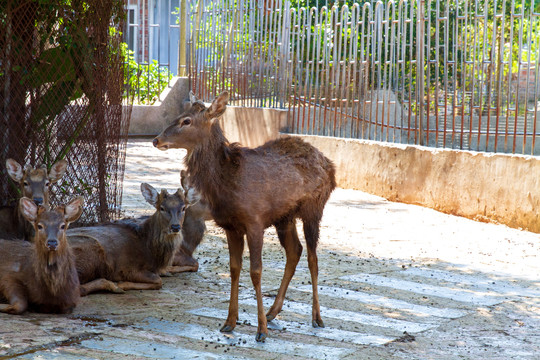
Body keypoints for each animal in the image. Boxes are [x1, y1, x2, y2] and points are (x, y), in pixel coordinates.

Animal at [67, 183, 197, 296]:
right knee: (78, 289)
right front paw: (122, 284)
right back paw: (114, 286)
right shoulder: (127, 268)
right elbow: (158, 281)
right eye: (162, 208)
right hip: (89, 250)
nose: (175, 227)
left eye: (183, 208)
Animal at [153, 91, 338, 342]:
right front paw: (229, 322)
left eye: (186, 121)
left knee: (313, 258)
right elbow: (234, 269)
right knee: (295, 251)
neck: (226, 185)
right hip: (285, 217)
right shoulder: (230, 226)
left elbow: (256, 271)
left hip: (314, 208)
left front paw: (260, 331)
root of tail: (331, 166)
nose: (156, 139)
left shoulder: (254, 221)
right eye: (179, 115)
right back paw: (273, 311)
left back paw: (316, 317)